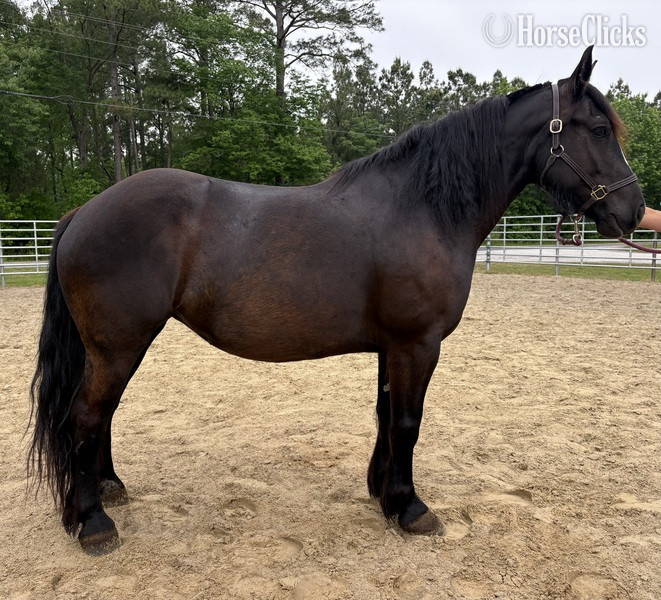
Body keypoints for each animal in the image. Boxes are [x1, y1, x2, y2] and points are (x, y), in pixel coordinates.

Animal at [28, 47, 645, 555]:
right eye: (597, 129)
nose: (634, 212)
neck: (422, 208)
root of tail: (84, 212)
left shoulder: (392, 347)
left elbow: (385, 415)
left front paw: (383, 493)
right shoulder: (417, 344)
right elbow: (408, 422)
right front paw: (411, 508)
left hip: (116, 348)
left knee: (100, 415)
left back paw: (107, 490)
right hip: (118, 345)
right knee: (86, 415)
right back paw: (93, 522)